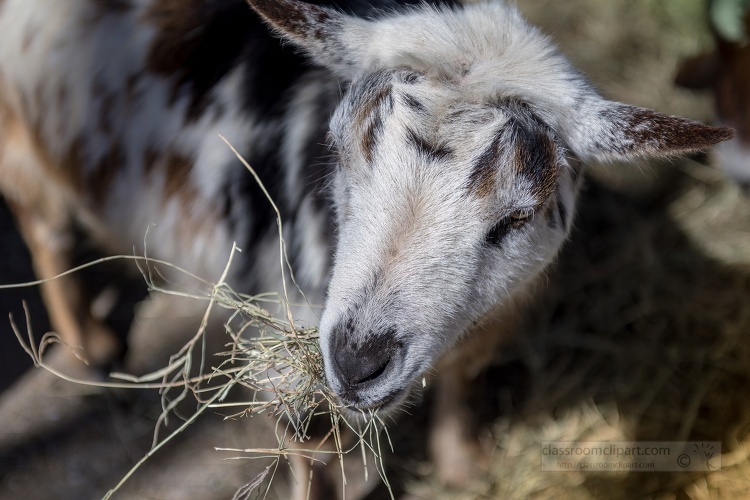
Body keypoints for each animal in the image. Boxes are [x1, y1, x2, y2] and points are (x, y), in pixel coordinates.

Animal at [0, 0, 732, 498]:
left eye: (518, 216)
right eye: (341, 155)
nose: (357, 361)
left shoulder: (487, 324)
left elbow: (462, 383)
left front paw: (466, 468)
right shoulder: (285, 353)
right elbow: (315, 453)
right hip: (24, 144)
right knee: (45, 233)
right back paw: (91, 348)